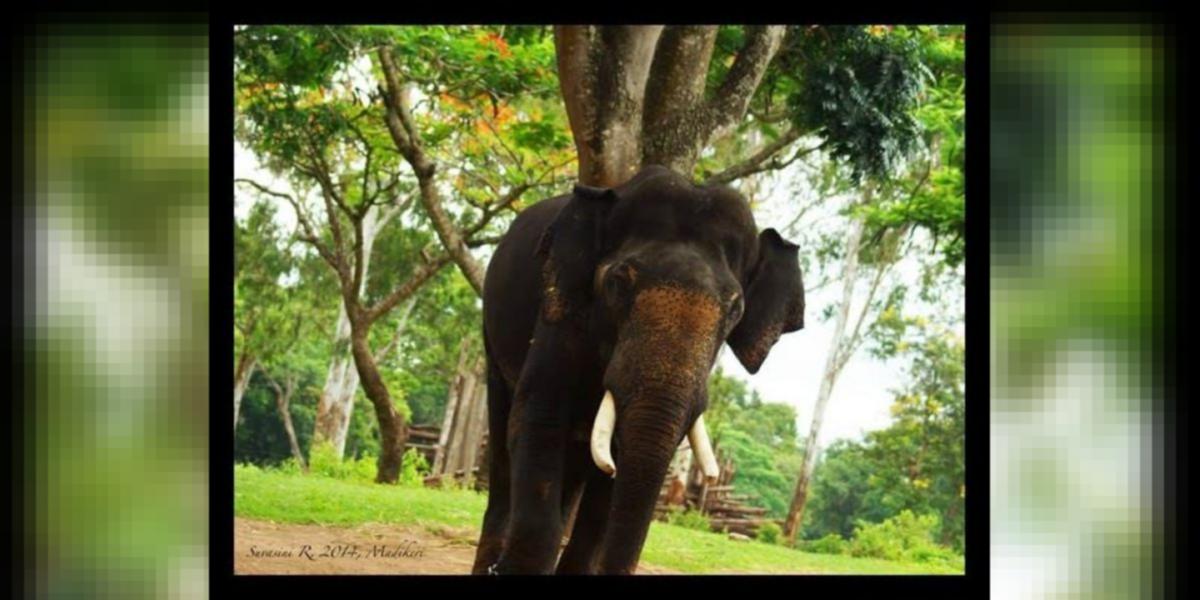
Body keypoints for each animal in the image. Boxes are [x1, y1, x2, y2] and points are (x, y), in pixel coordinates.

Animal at [472, 163, 801, 571]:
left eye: (735, 309)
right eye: (616, 283)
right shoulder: (561, 313)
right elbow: (539, 419)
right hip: (491, 337)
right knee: (504, 430)